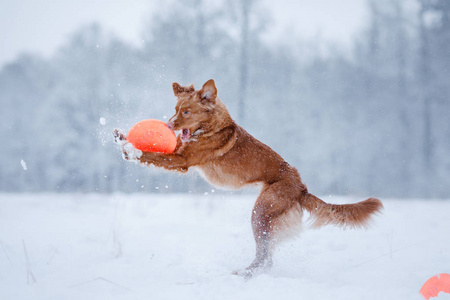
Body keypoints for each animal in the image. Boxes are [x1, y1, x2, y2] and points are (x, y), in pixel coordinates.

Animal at [113, 79, 384, 276]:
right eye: (176, 110)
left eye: (187, 111)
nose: (169, 126)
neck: (212, 128)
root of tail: (301, 188)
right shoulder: (180, 151)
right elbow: (157, 152)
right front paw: (121, 137)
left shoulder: (183, 161)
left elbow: (151, 155)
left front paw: (130, 149)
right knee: (267, 255)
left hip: (261, 212)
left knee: (265, 256)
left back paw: (245, 274)